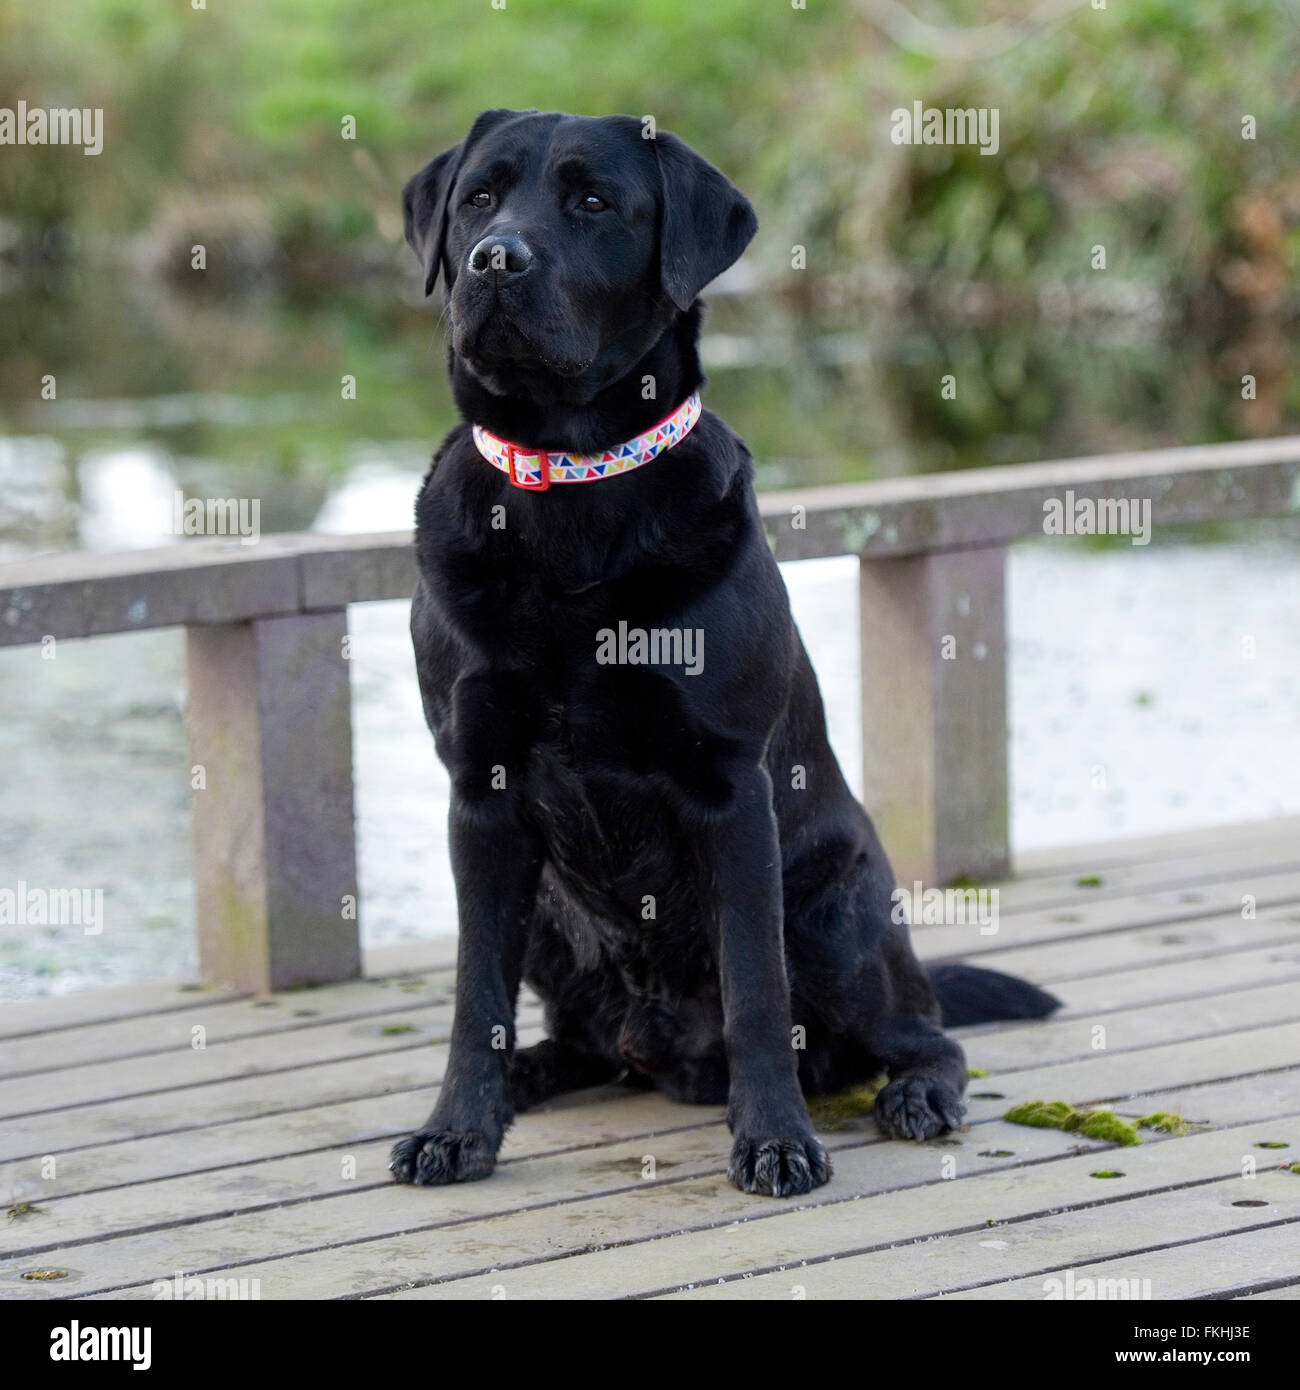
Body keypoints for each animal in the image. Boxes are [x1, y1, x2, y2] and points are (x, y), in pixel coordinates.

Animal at [389, 105, 1056, 1195]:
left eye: (592, 201)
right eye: (479, 198)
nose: (494, 259)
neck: (571, 486)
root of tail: (662, 1048)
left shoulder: (730, 789)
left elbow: (754, 989)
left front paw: (777, 1138)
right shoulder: (479, 795)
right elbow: (471, 996)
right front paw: (458, 1128)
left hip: (834, 913)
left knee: (924, 1032)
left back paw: (915, 1094)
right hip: (553, 921)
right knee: (577, 1037)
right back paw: (532, 1075)